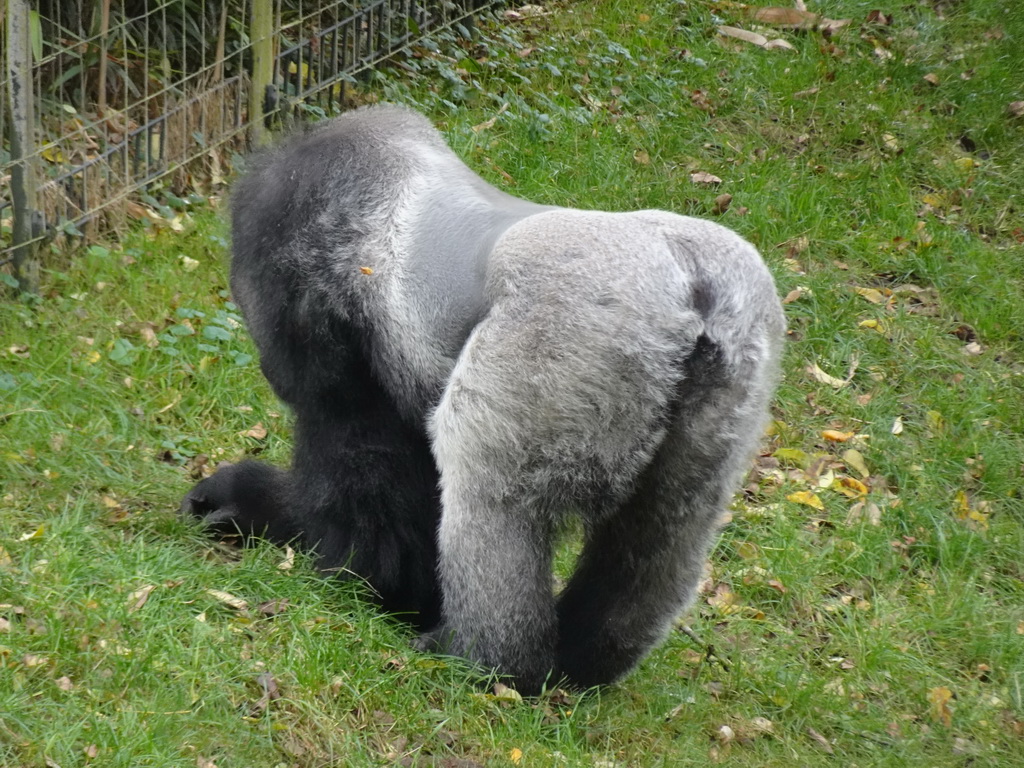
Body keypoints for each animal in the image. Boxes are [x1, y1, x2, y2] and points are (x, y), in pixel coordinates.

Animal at [182, 103, 782, 696]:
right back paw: (587, 660)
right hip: (738, 369)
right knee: (665, 523)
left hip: (565, 325)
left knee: (491, 491)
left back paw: (483, 661)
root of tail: (692, 287)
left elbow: (360, 473)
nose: (267, 368)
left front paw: (259, 508)